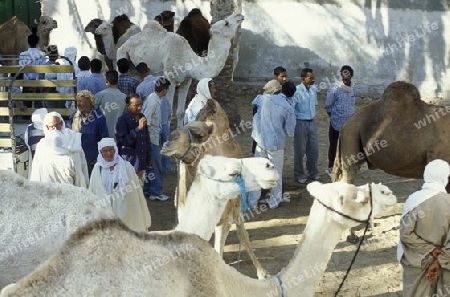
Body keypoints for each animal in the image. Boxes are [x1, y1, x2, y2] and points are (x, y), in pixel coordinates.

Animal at [115, 13, 243, 126]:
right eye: (226, 23)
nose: (240, 15)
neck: (188, 60)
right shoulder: (171, 80)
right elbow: (169, 112)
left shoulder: (186, 81)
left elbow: (181, 112)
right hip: (121, 55)